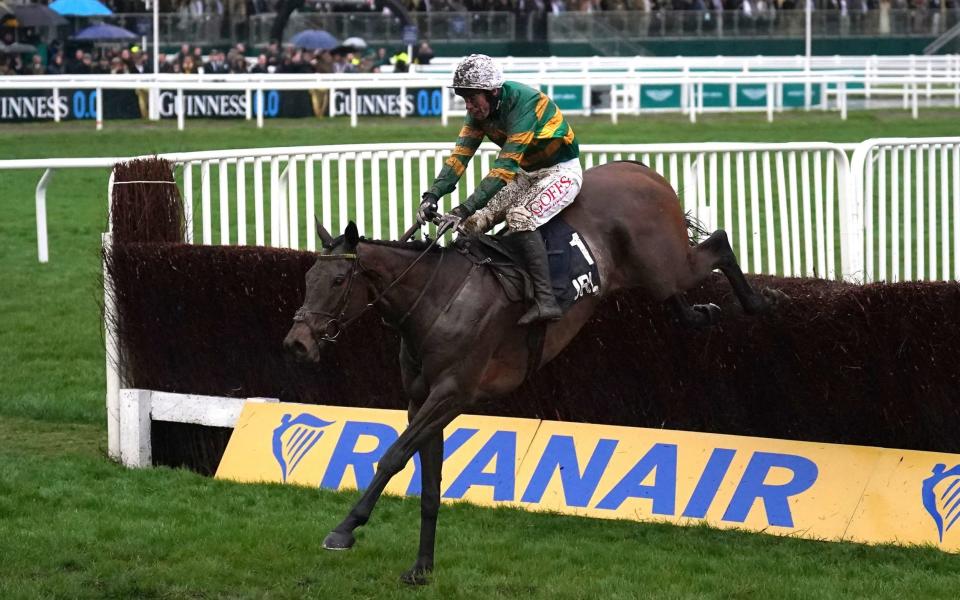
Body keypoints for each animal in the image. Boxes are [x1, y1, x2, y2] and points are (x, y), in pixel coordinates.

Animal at [282, 161, 784, 584]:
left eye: (338, 281)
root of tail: (640, 169)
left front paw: (344, 529)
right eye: (307, 278)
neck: (437, 299)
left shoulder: (452, 394)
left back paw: (760, 302)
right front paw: (422, 567)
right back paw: (700, 313)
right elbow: (429, 481)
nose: (297, 343)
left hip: (666, 263)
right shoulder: (420, 400)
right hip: (649, 273)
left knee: (718, 242)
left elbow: (392, 457)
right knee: (680, 291)